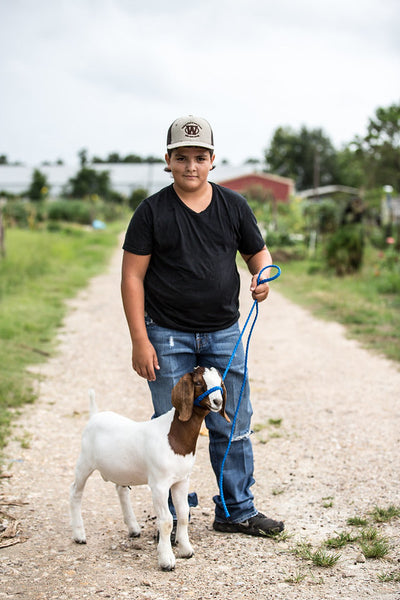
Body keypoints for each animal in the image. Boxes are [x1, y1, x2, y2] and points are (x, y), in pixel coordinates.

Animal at [69, 366, 228, 572]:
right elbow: (166, 521)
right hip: (85, 462)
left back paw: (133, 528)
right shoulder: (159, 484)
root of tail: (94, 415)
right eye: (199, 382)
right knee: (75, 492)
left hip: (121, 470)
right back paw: (79, 535)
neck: (174, 435)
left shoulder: (181, 480)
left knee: (121, 490)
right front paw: (167, 560)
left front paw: (186, 550)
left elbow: (183, 514)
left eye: (220, 382)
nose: (218, 401)